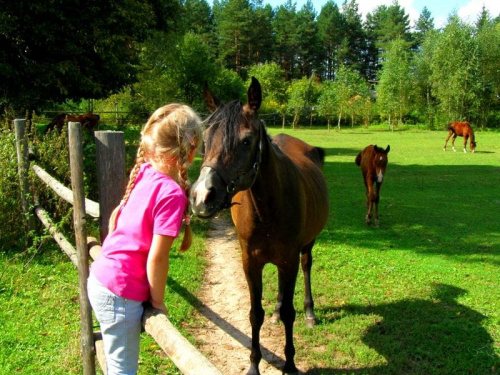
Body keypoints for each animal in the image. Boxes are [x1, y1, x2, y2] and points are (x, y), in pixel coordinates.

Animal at [190, 77, 328, 375]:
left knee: (307, 267)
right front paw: (254, 364)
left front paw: (290, 364)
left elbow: (290, 313)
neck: (268, 209)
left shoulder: (289, 259)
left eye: (246, 140)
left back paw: (310, 314)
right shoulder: (250, 261)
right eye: (205, 140)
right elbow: (255, 314)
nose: (202, 197)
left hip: (306, 247)